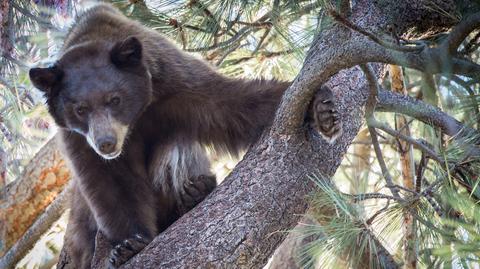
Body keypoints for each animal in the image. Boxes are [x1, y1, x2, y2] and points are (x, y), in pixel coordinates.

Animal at [28, 2, 344, 268]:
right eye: (80, 109)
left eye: (114, 99)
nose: (106, 143)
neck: (137, 119)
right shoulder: (77, 140)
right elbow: (110, 186)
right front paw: (129, 245)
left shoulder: (172, 78)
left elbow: (229, 102)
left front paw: (320, 107)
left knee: (175, 147)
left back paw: (195, 191)